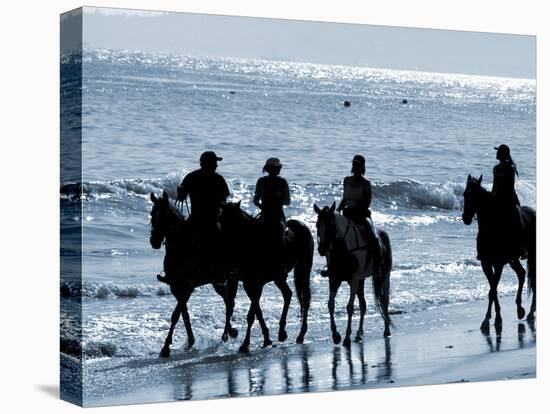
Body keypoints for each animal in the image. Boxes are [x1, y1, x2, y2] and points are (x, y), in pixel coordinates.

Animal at [150, 191, 240, 356]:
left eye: (164, 216)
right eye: (152, 214)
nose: (154, 241)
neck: (180, 247)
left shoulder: (187, 287)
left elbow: (176, 314)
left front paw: (166, 347)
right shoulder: (176, 287)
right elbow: (184, 314)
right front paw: (190, 341)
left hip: (232, 278)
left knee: (230, 302)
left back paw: (225, 335)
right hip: (216, 281)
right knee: (227, 299)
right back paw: (231, 331)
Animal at [220, 201, 314, 352]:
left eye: (232, 222)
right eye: (221, 220)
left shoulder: (255, 284)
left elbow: (251, 315)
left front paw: (245, 343)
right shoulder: (241, 282)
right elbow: (241, 308)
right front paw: (265, 337)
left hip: (303, 269)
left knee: (305, 298)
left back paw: (301, 334)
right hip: (279, 277)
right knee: (288, 294)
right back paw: (282, 332)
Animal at [312, 202, 394, 344]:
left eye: (331, 226)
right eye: (317, 225)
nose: (321, 249)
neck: (343, 248)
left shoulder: (354, 279)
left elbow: (350, 307)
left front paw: (346, 337)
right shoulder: (334, 279)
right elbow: (330, 304)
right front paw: (336, 335)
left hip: (384, 276)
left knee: (385, 300)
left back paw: (386, 330)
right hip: (361, 281)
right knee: (363, 304)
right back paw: (359, 334)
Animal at [464, 174, 536, 330]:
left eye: (475, 196)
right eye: (465, 194)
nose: (465, 218)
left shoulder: (498, 264)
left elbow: (493, 290)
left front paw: (489, 319)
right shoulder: (486, 263)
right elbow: (493, 289)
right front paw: (494, 318)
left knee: (532, 279)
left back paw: (531, 311)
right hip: (513, 259)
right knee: (522, 274)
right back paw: (520, 309)